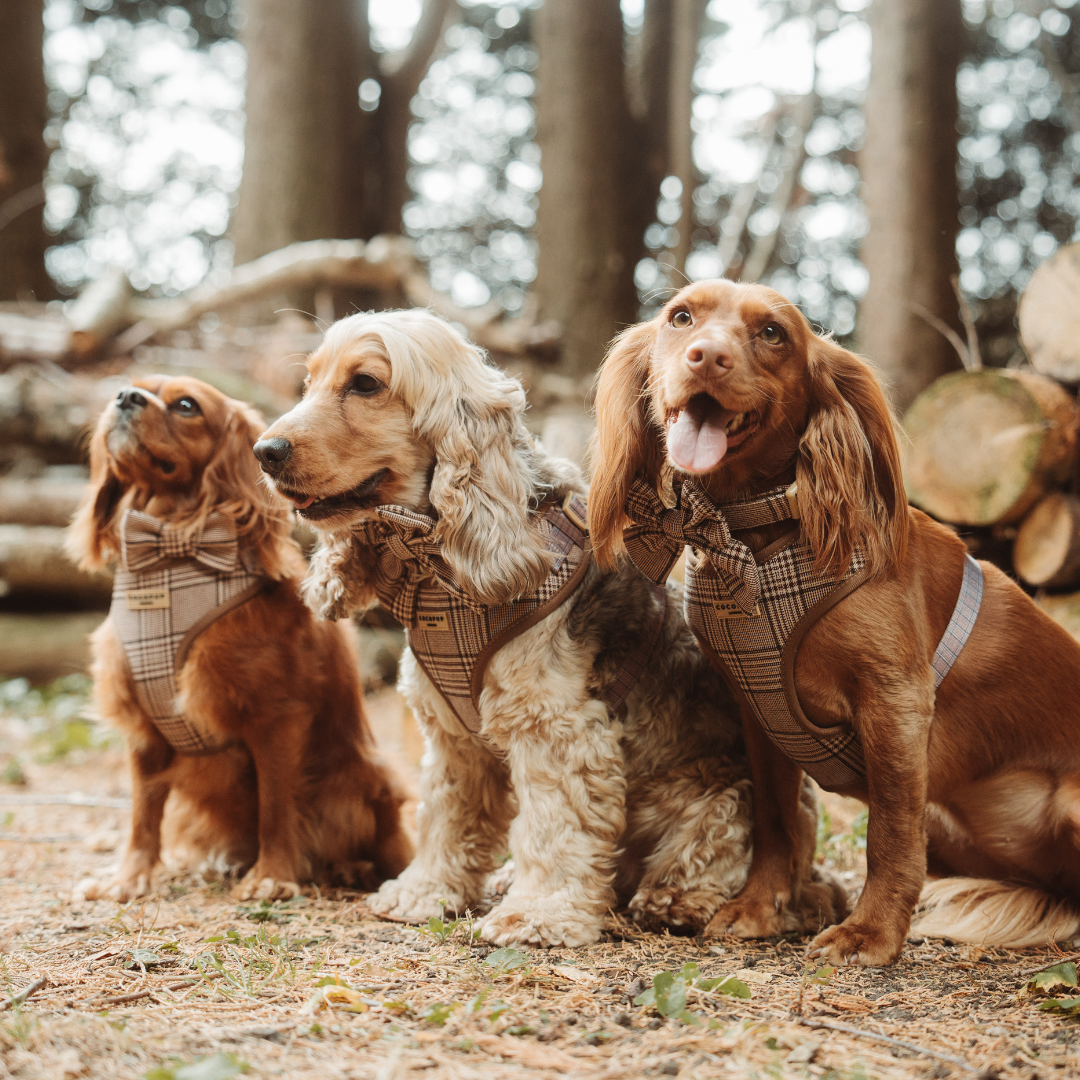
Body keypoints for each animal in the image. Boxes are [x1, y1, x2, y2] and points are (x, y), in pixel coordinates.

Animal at [67, 378, 412, 902]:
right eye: (132, 388)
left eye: (186, 406)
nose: (125, 397)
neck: (170, 554)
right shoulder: (145, 730)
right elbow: (142, 812)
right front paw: (129, 878)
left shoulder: (276, 718)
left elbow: (275, 803)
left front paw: (272, 875)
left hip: (366, 781)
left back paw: (352, 870)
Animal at [250, 306, 842, 946]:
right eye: (308, 382)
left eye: (365, 383)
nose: (265, 450)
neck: (438, 567)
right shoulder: (453, 739)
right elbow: (445, 817)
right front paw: (425, 891)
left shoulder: (557, 730)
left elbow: (556, 828)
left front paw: (537, 915)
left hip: (724, 796)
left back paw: (678, 899)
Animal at [587, 278, 1080, 963]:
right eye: (680, 318)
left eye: (773, 333)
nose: (706, 357)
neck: (758, 538)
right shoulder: (759, 712)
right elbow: (774, 822)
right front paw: (758, 908)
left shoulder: (895, 704)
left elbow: (890, 834)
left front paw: (870, 933)